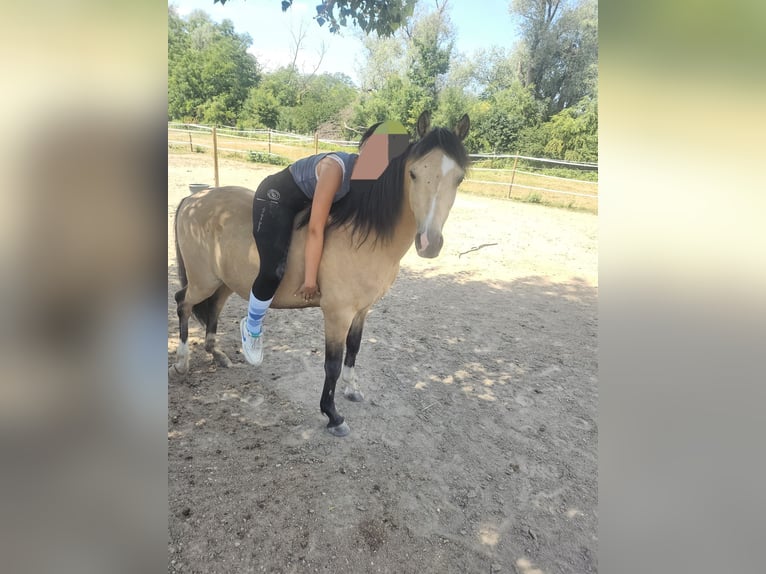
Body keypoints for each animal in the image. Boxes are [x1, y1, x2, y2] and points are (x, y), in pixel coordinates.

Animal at [170, 110, 470, 437]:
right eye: (413, 173)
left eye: (459, 178)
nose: (429, 243)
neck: (363, 235)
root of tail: (194, 199)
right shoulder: (337, 314)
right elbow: (332, 364)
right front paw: (333, 415)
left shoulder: (362, 311)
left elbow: (354, 348)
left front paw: (352, 389)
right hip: (204, 280)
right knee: (183, 302)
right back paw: (183, 362)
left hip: (224, 281)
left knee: (212, 308)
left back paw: (218, 355)